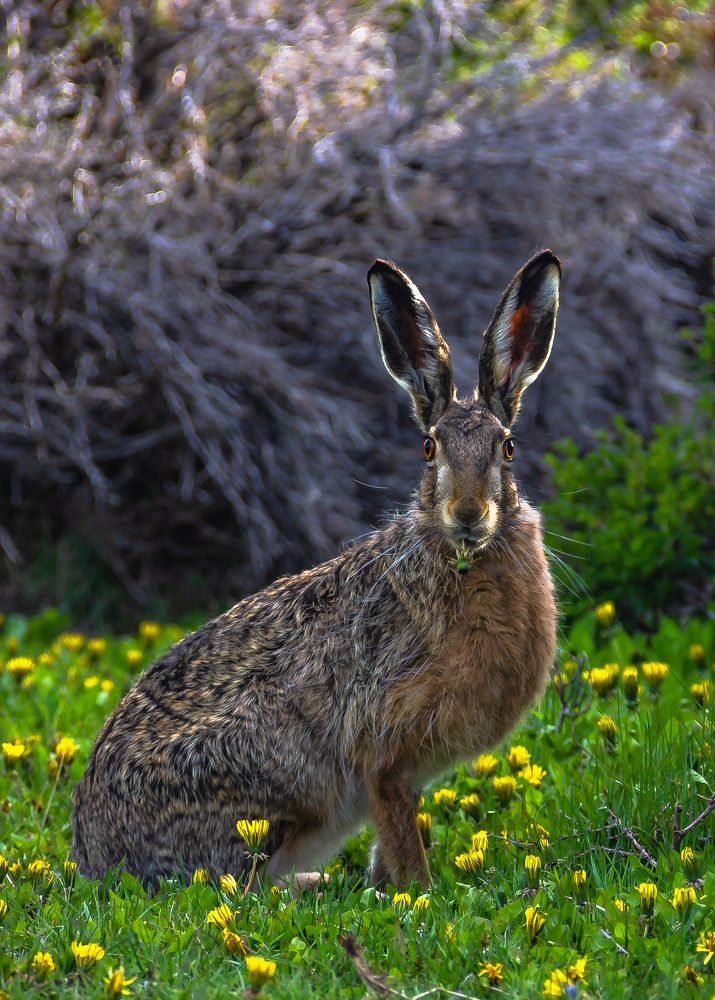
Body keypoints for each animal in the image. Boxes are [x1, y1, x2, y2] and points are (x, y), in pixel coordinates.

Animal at [72, 249, 560, 889]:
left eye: (507, 448)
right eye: (430, 450)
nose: (468, 515)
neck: (463, 559)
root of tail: (92, 856)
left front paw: (390, 888)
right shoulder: (384, 751)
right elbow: (399, 832)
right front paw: (419, 893)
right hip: (265, 783)